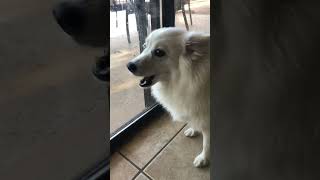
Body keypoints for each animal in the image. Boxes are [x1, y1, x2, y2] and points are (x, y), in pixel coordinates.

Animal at [126, 27, 211, 167]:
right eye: (144, 46)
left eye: (159, 52)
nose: (129, 65)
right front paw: (193, 130)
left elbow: (206, 144)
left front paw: (203, 158)